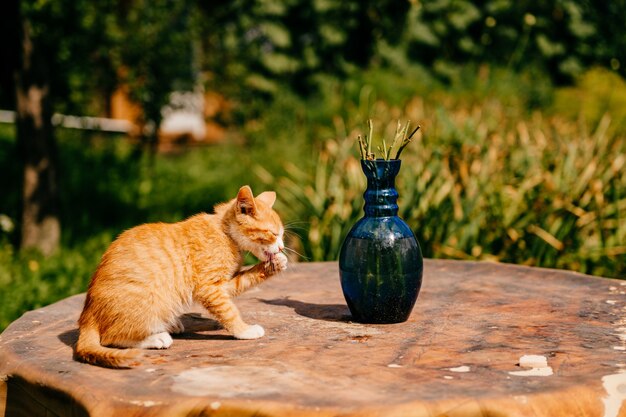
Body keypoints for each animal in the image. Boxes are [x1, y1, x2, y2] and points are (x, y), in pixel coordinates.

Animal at [74, 185, 286, 368]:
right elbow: (229, 311)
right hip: (148, 299)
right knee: (111, 337)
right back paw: (156, 337)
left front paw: (274, 265)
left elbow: (242, 281)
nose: (282, 247)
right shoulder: (209, 288)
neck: (224, 233)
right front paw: (244, 330)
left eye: (282, 235)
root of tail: (87, 315)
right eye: (273, 234)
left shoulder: (221, 286)